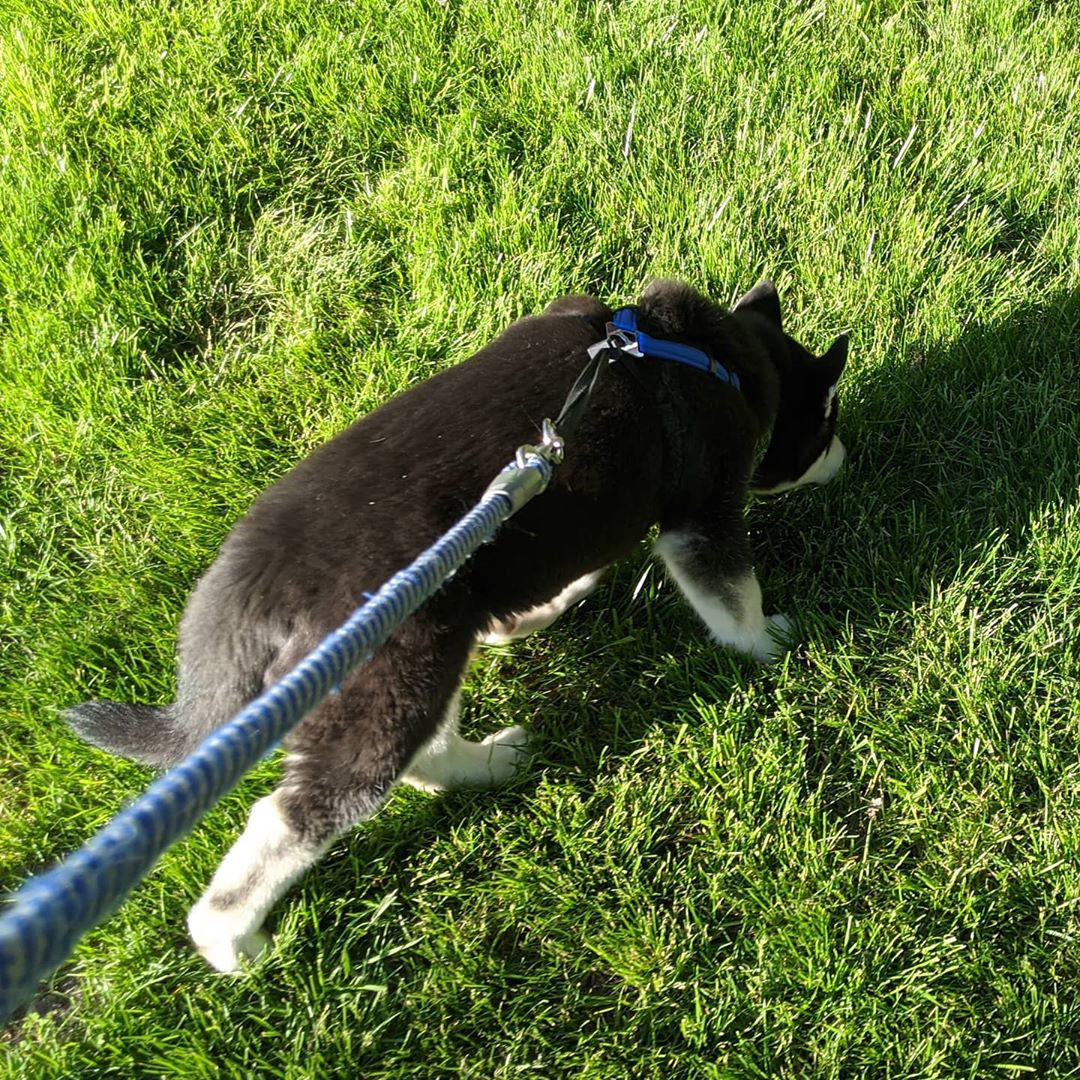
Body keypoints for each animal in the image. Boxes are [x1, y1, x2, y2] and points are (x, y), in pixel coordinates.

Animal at [65, 278, 851, 972]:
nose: (843, 460)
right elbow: (732, 596)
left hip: (423, 644)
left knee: (426, 752)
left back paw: (493, 758)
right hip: (392, 673)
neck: (705, 352)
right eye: (826, 423)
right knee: (298, 814)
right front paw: (775, 642)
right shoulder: (703, 514)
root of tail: (248, 585)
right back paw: (230, 942)